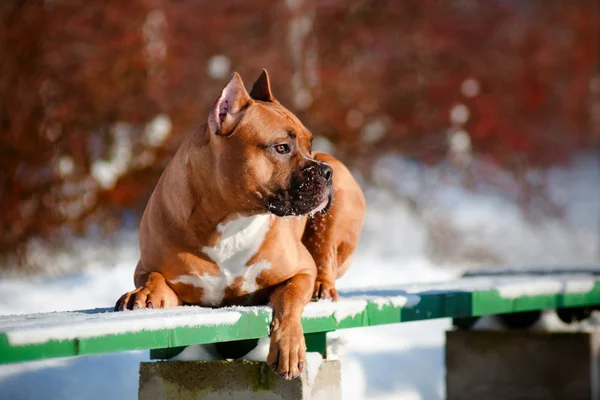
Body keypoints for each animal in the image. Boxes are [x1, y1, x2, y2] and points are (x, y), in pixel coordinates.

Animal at [113, 70, 366, 380]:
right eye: (281, 147)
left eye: (309, 144)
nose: (324, 171)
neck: (231, 220)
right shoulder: (153, 271)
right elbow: (153, 276)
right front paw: (146, 293)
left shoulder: (300, 272)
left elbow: (289, 301)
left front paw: (290, 347)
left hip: (336, 202)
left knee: (324, 253)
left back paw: (323, 286)